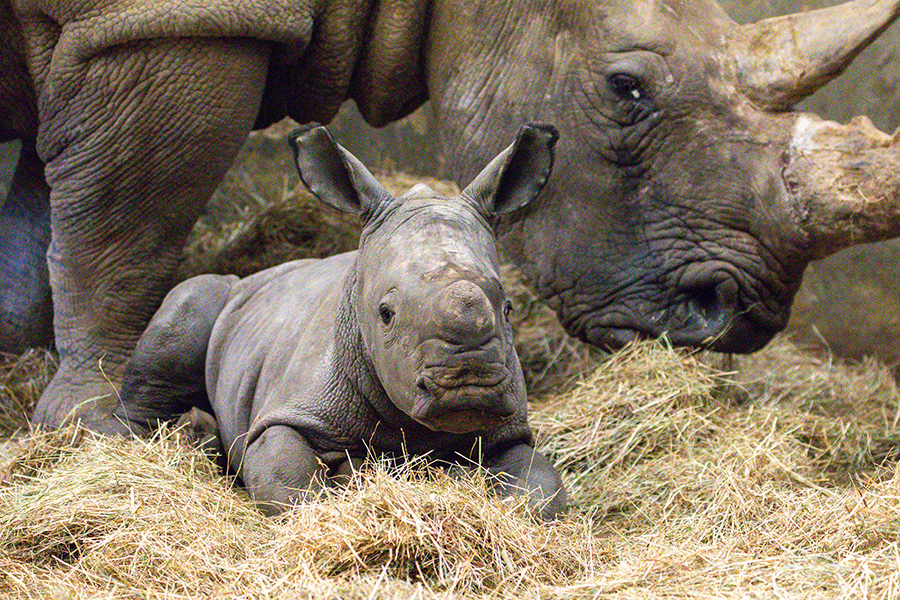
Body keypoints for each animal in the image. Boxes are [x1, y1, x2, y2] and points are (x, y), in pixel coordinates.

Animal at [4, 0, 900, 428]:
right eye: (627, 89)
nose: (741, 315)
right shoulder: (157, 22)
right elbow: (124, 224)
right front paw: (92, 423)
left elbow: (42, 225)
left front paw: (20, 368)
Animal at [107, 123, 566, 519]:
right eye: (385, 314)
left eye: (508, 309)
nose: (470, 383)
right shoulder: (287, 413)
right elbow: (289, 480)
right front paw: (343, 484)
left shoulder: (507, 432)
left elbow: (543, 489)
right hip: (223, 298)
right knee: (188, 306)